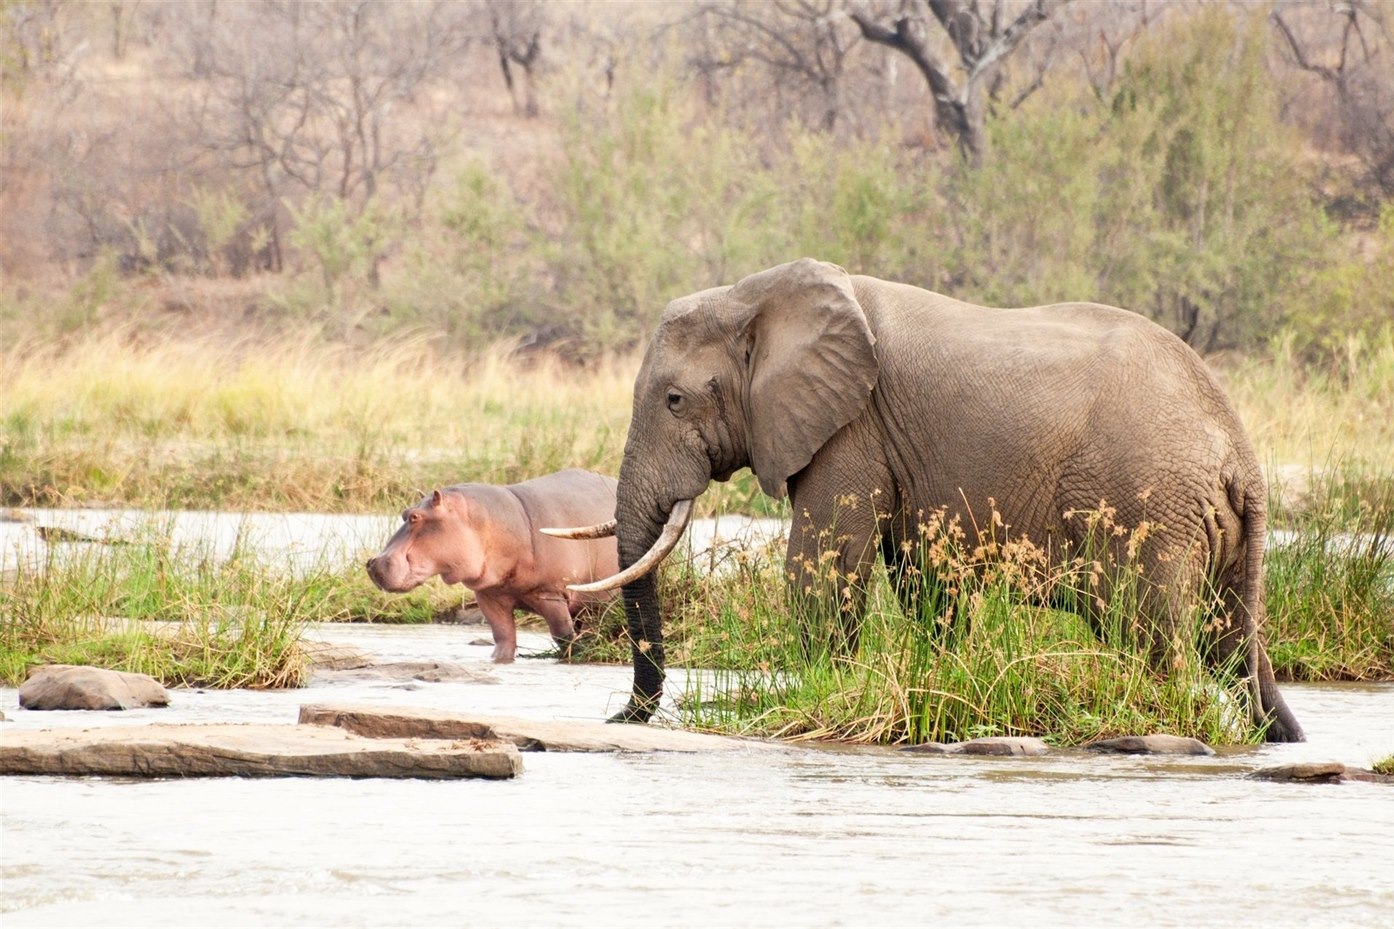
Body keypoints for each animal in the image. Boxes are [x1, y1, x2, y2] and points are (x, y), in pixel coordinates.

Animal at [368, 471, 618, 658]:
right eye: (404, 513)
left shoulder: (550, 593)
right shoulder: (489, 595)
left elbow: (563, 635)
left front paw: (577, 653)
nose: (372, 562)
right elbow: (503, 638)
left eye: (416, 517)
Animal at [546, 256, 1304, 742]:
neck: (752, 294)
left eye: (674, 400)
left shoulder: (850, 426)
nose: (618, 718)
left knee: (1153, 634)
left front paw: (812, 693)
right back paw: (1282, 736)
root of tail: (1239, 453)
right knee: (1232, 643)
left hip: (1148, 505)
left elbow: (825, 563)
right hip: (1209, 524)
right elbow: (923, 583)